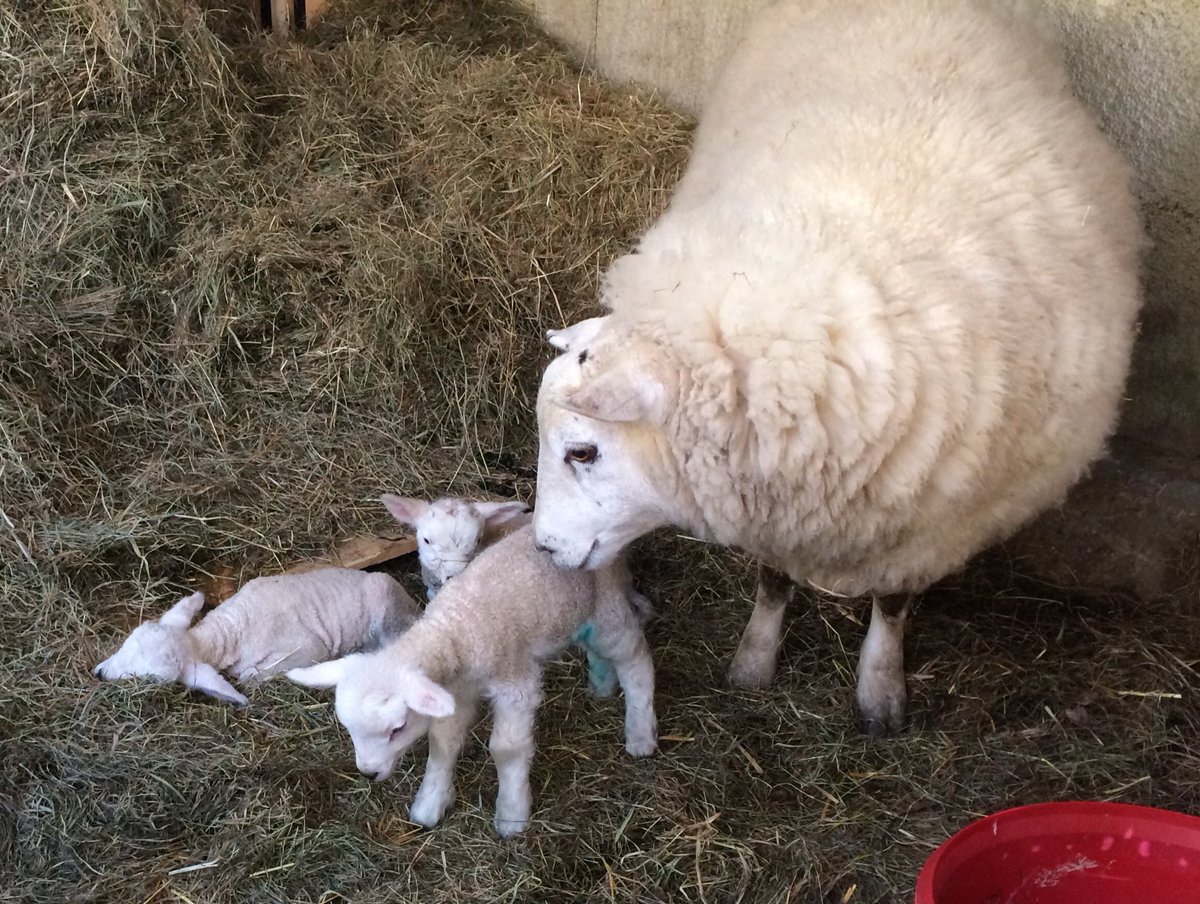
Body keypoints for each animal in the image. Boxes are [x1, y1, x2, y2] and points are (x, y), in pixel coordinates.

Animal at [94, 568, 421, 706]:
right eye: (125, 645)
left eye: (149, 679)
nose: (99, 674)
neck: (230, 631)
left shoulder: (305, 649)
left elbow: (251, 676)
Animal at [286, 522, 657, 837]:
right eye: (349, 729)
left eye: (397, 729)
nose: (368, 773)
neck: (456, 627)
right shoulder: (454, 693)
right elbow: (442, 743)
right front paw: (430, 804)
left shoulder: (515, 685)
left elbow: (506, 749)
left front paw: (511, 814)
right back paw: (601, 686)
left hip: (607, 608)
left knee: (636, 661)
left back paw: (640, 733)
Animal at [530, 0, 1143, 736]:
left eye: (583, 451)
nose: (542, 549)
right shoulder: (774, 499)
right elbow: (772, 583)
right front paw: (754, 661)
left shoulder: (927, 529)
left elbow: (894, 604)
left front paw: (880, 691)